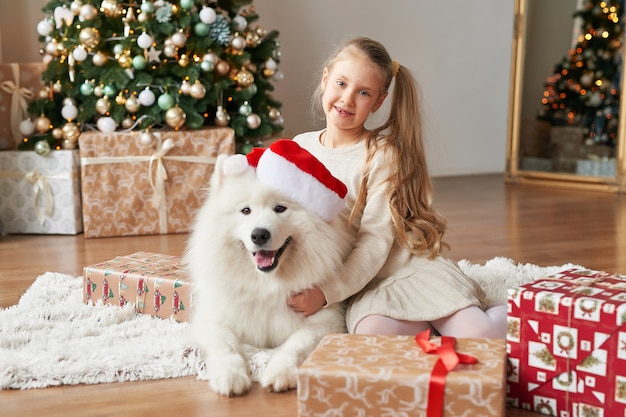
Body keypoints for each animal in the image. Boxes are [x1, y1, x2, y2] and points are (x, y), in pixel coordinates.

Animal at [184, 141, 352, 396]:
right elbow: (225, 345)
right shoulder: (212, 319)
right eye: (246, 211)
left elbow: (295, 346)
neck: (265, 283)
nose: (259, 234)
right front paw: (230, 376)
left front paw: (279, 372)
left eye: (280, 208)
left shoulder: (325, 322)